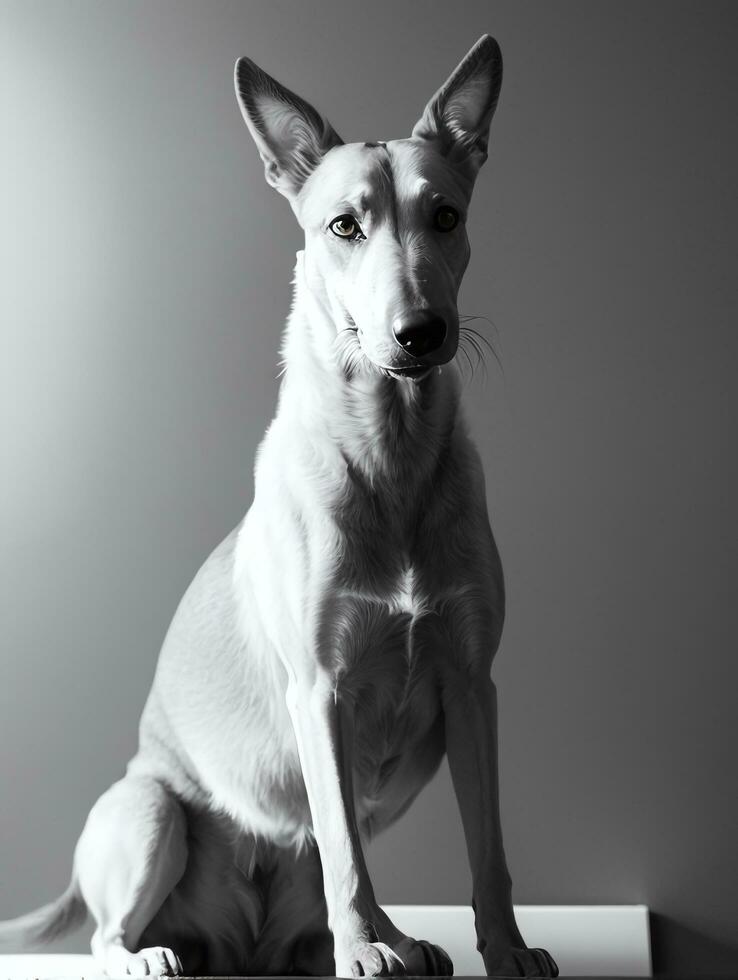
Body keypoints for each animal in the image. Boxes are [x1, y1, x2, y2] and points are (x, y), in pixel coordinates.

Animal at [0, 34, 556, 976]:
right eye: (344, 226)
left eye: (445, 216)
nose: (420, 332)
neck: (389, 455)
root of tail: (239, 945)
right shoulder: (321, 690)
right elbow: (345, 856)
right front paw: (366, 949)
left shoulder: (472, 684)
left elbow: (488, 850)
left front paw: (506, 951)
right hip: (150, 812)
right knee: (115, 930)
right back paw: (165, 955)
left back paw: (397, 941)